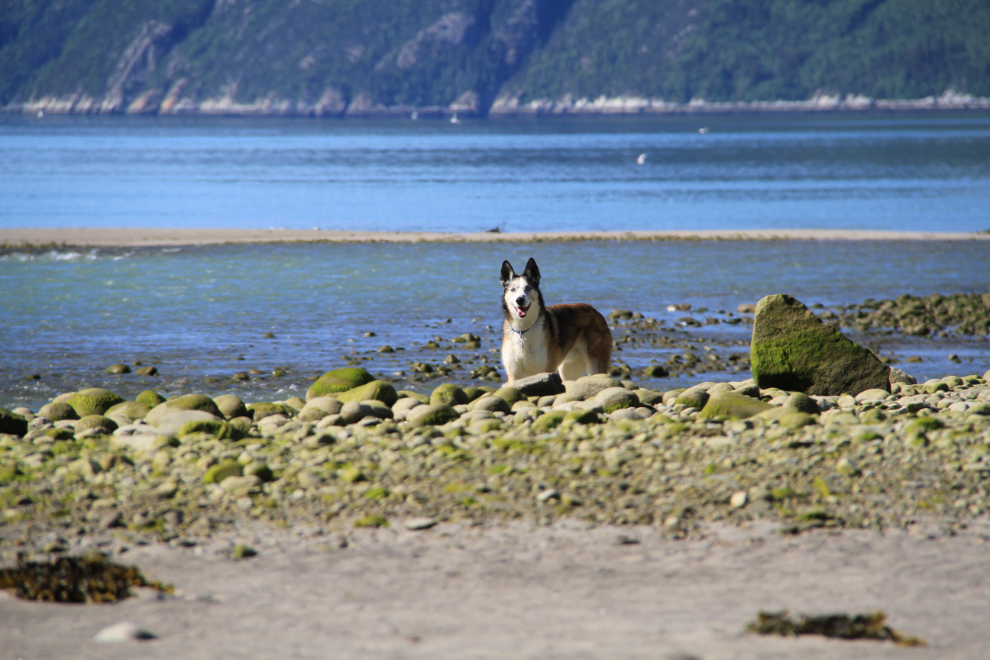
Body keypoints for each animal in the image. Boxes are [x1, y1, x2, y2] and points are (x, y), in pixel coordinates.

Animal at [504, 256, 612, 384]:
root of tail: (596, 312)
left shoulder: (545, 371)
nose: (519, 300)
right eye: (513, 290)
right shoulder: (514, 375)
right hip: (568, 370)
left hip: (595, 366)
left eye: (528, 288)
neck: (523, 330)